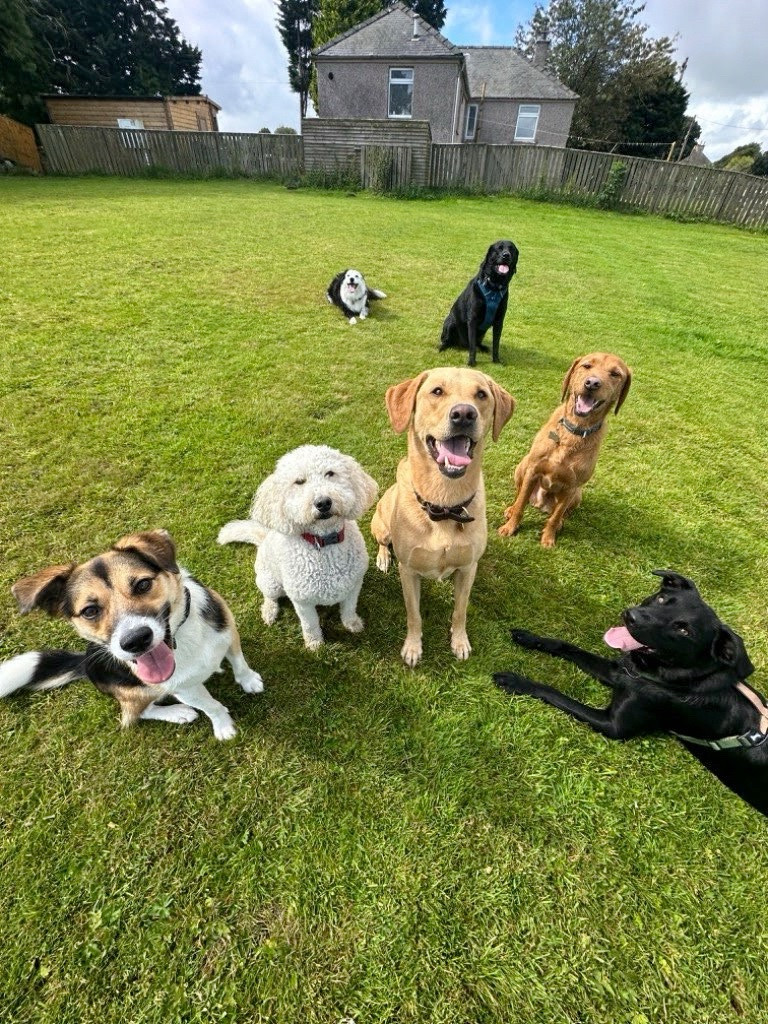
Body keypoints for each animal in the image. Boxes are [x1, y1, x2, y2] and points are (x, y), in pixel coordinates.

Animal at [0, 532, 264, 741]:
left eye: (143, 585)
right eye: (90, 611)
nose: (136, 640)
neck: (183, 638)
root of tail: (85, 661)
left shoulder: (228, 631)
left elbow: (239, 661)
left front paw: (249, 680)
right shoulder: (185, 690)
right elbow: (211, 706)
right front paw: (224, 727)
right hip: (138, 692)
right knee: (135, 715)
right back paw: (178, 712)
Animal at [218, 446, 380, 647]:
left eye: (330, 473)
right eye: (299, 482)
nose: (323, 502)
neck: (324, 542)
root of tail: (264, 539)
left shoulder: (353, 587)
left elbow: (349, 609)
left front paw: (353, 624)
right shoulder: (302, 602)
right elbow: (310, 624)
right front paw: (315, 644)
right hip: (270, 582)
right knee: (269, 596)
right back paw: (269, 611)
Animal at [442, 237, 520, 366]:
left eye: (511, 249)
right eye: (499, 248)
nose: (506, 255)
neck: (494, 286)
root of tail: (462, 346)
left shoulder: (499, 321)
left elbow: (496, 344)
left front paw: (496, 360)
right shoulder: (473, 319)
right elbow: (472, 346)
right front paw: (471, 362)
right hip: (450, 323)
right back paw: (442, 347)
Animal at [493, 569, 768, 815]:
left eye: (683, 630)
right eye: (661, 599)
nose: (631, 616)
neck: (675, 679)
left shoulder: (613, 725)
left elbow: (555, 693)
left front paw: (517, 681)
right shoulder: (619, 673)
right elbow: (566, 646)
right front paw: (529, 637)